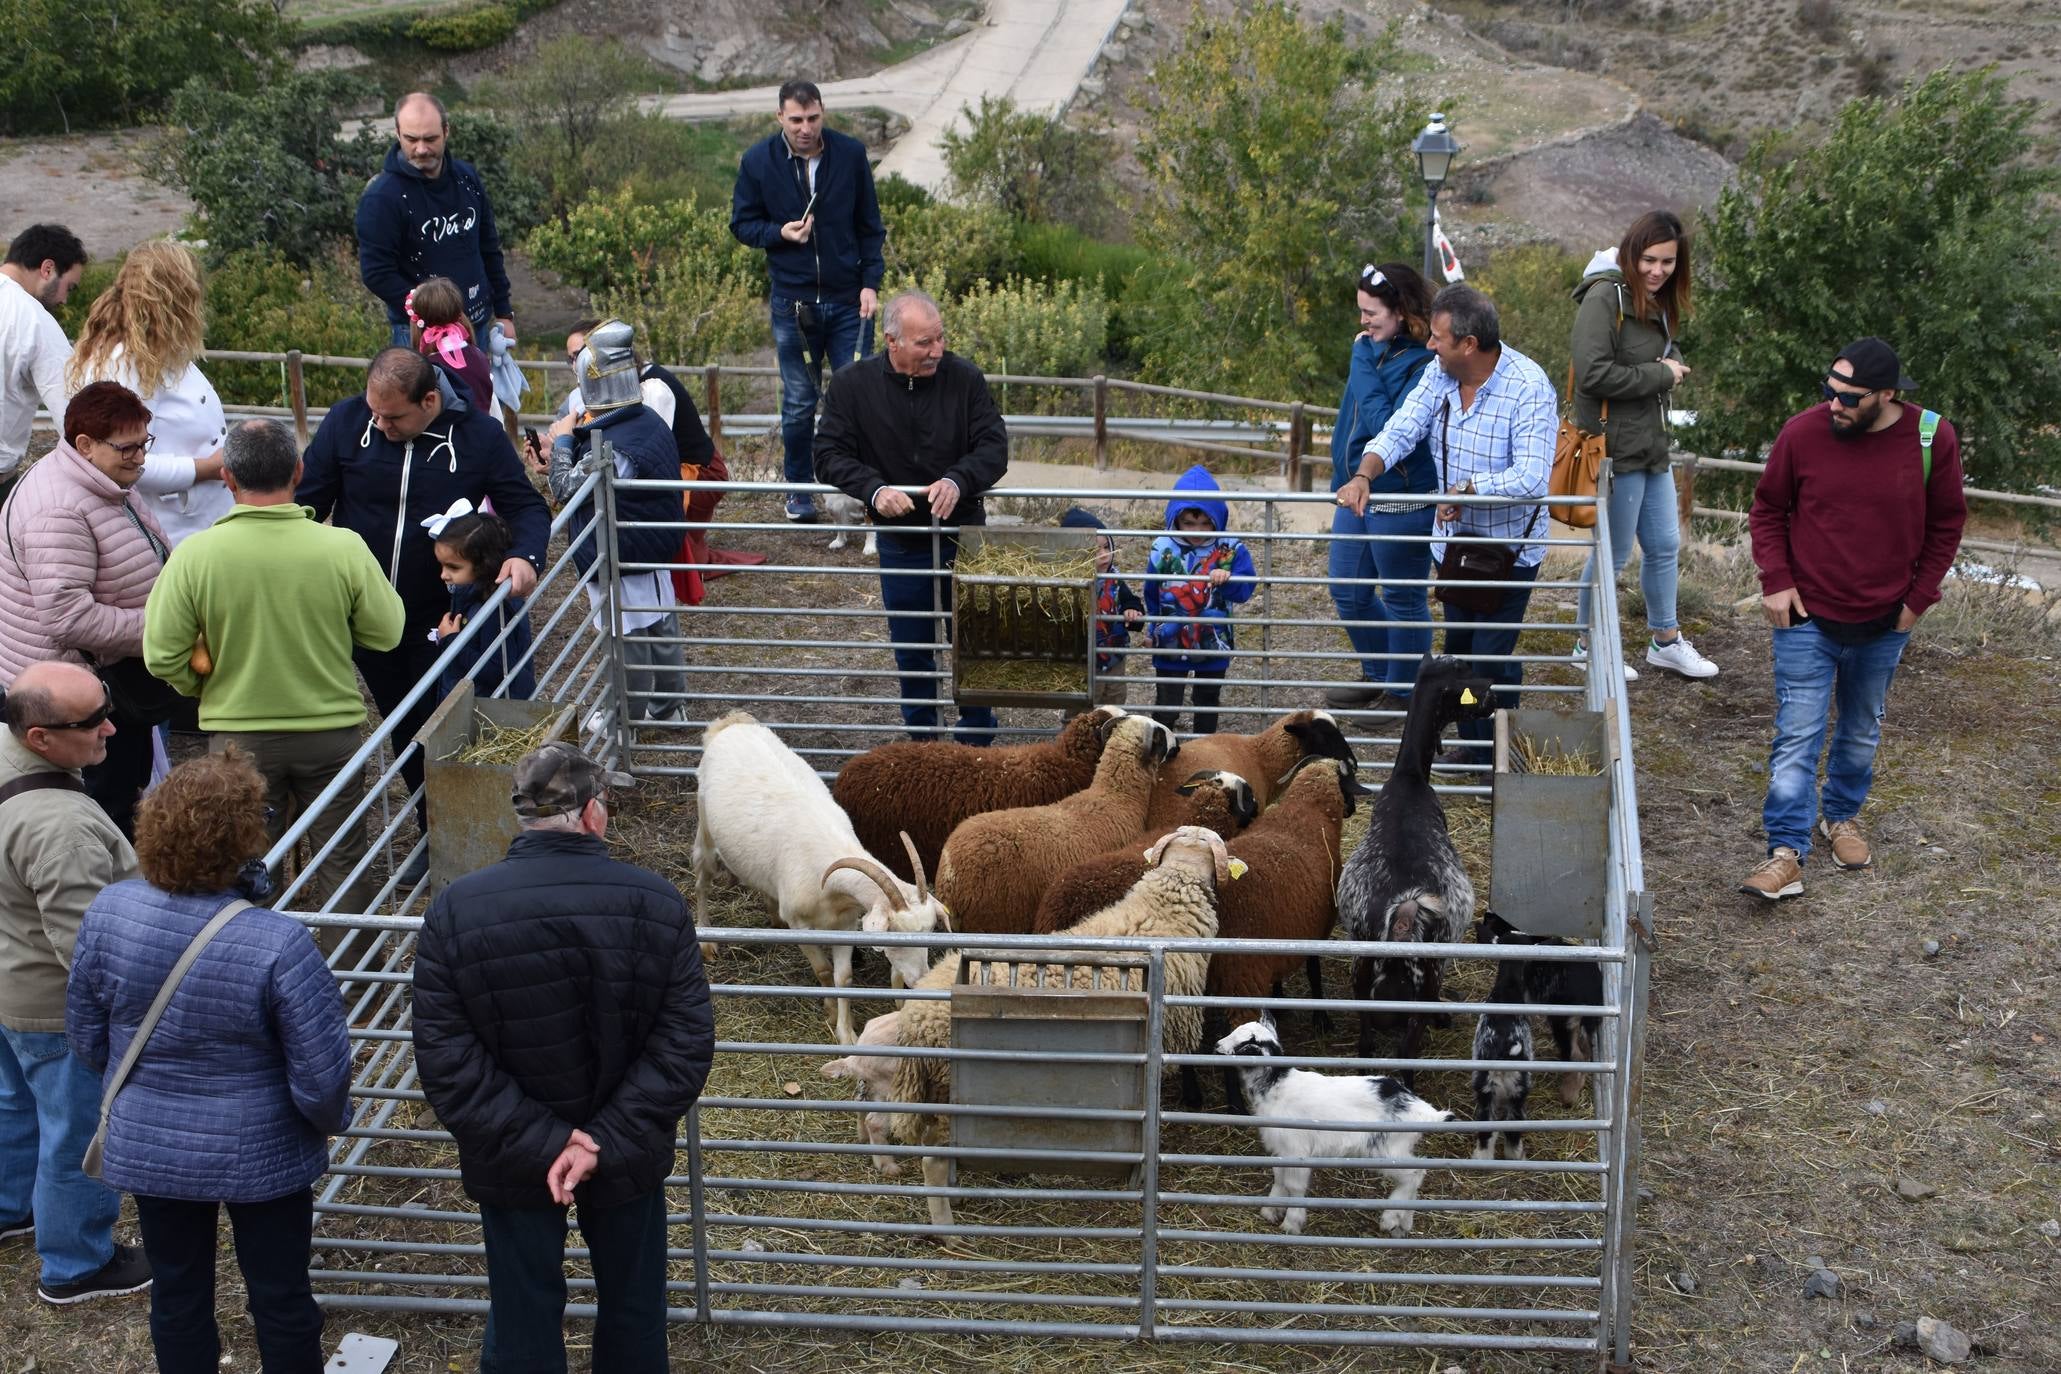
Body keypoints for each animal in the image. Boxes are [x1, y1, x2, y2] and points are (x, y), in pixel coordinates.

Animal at [692, 708, 948, 1042]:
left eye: (930, 931)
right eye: (895, 938)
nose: (918, 982)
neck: (829, 882)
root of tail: (730, 724)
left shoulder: (845, 923)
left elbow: (844, 977)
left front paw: (847, 1033)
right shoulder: (800, 925)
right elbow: (824, 971)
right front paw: (829, 1010)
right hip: (706, 831)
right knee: (702, 880)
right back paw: (707, 940)